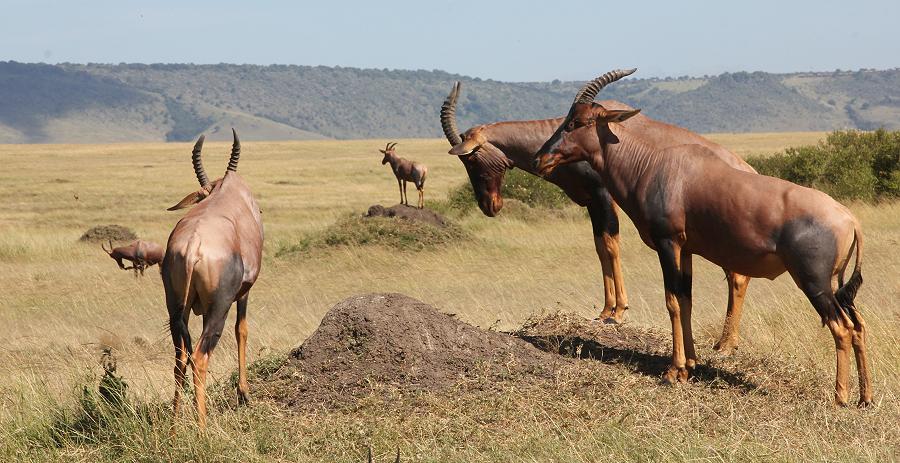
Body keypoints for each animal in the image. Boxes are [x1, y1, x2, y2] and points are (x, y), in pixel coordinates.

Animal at [162, 129, 264, 430]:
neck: (226, 191)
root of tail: (193, 247)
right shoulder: (242, 293)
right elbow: (242, 330)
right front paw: (244, 394)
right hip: (219, 307)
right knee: (199, 357)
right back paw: (203, 430)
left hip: (176, 308)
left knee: (180, 359)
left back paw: (174, 429)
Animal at [440, 80, 756, 354]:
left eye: (471, 157)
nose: (488, 205)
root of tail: (746, 168)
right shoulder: (592, 202)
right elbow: (600, 247)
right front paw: (605, 311)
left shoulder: (604, 198)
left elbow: (612, 245)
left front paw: (618, 313)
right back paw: (725, 342)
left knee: (738, 276)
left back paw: (726, 344)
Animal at [536, 68, 872, 406]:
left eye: (578, 122)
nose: (541, 159)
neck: (656, 165)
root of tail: (849, 218)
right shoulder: (686, 250)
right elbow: (686, 301)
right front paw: (690, 366)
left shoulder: (668, 243)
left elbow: (672, 301)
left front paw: (673, 373)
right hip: (834, 284)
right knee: (858, 325)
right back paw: (865, 397)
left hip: (814, 282)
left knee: (842, 327)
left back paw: (841, 396)